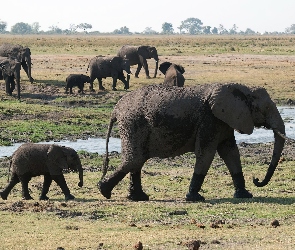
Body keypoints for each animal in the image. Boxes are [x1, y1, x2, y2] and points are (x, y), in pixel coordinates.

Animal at [99, 83, 286, 202]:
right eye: (266, 108)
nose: (257, 179)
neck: (242, 88)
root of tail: (115, 109)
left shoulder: (223, 121)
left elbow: (231, 152)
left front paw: (244, 195)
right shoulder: (209, 119)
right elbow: (206, 153)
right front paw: (195, 198)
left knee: (137, 160)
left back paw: (138, 198)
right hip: (133, 123)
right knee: (135, 159)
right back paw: (104, 190)